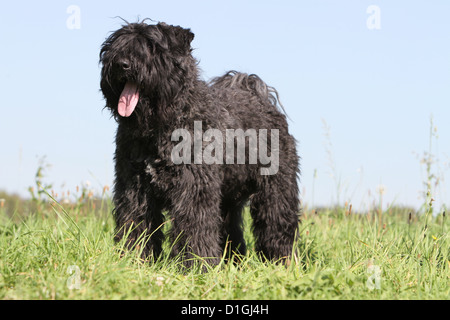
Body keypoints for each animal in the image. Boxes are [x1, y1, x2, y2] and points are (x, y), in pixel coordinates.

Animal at [100, 18, 300, 266]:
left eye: (152, 47)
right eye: (115, 45)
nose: (122, 64)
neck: (162, 124)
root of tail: (261, 98)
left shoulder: (193, 188)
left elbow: (194, 227)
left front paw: (195, 265)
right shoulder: (134, 187)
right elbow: (136, 224)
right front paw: (135, 260)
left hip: (275, 189)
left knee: (277, 223)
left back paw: (281, 261)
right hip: (228, 196)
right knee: (229, 229)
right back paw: (231, 262)